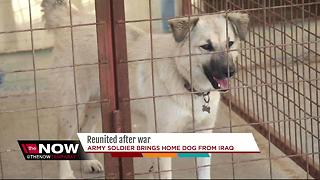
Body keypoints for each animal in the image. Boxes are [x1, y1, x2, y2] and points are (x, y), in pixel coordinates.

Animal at [41, 0, 249, 179]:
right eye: (206, 46)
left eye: (230, 44)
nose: (230, 71)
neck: (187, 82)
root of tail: (70, 19)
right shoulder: (163, 138)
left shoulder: (203, 133)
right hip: (72, 108)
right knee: (63, 137)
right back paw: (66, 174)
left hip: (97, 104)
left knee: (84, 129)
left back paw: (88, 163)